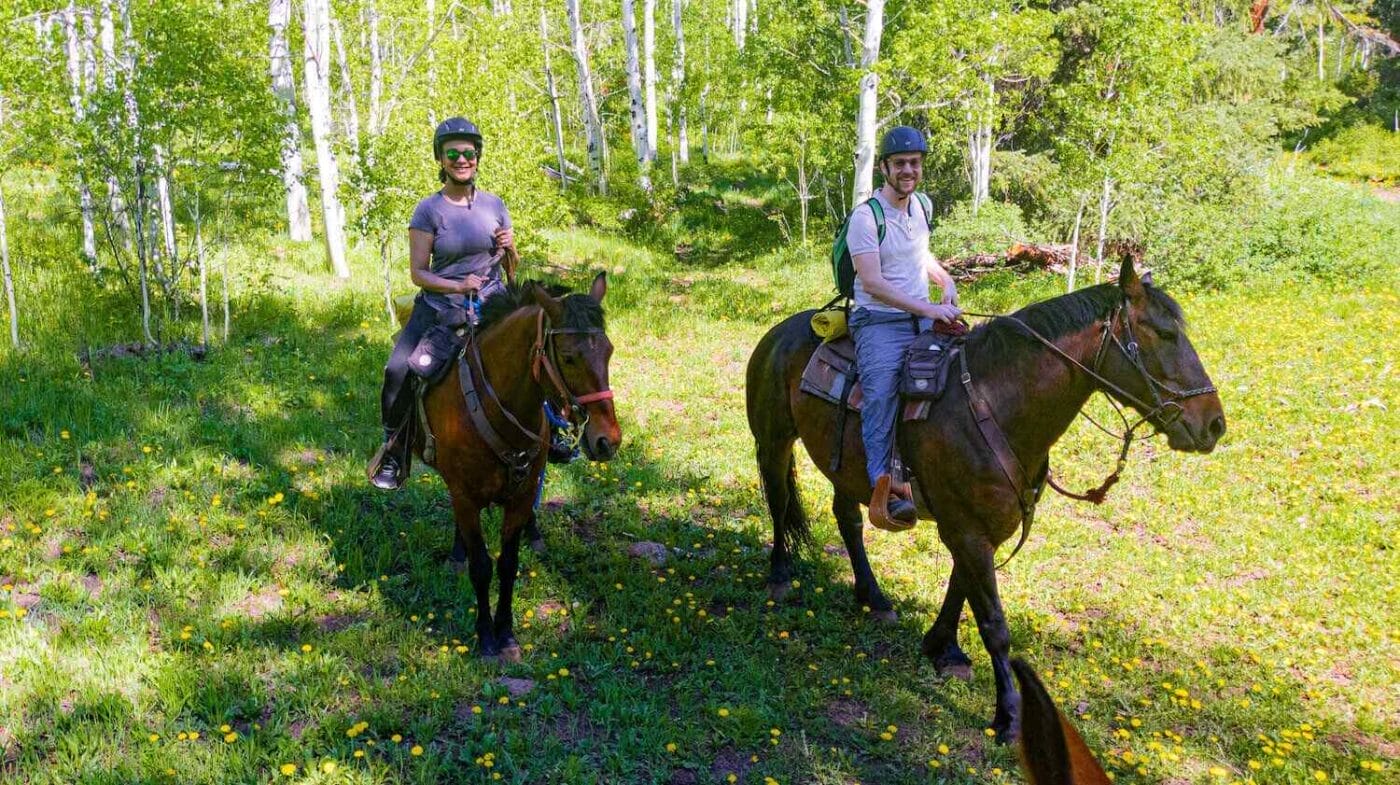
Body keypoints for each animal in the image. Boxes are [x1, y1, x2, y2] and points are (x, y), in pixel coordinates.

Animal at [414, 272, 624, 657]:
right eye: (568, 358)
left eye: (609, 351)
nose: (608, 440)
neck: (495, 403)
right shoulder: (465, 496)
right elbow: (481, 566)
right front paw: (485, 637)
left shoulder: (522, 495)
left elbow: (508, 564)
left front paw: (507, 635)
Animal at [744, 254, 1226, 738]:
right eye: (1164, 334)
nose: (1214, 425)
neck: (995, 403)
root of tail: (780, 331)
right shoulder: (967, 530)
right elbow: (993, 621)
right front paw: (1008, 715)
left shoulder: (980, 528)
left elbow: (961, 588)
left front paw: (944, 648)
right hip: (774, 441)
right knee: (779, 502)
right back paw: (780, 576)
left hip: (842, 467)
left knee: (847, 518)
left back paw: (873, 597)